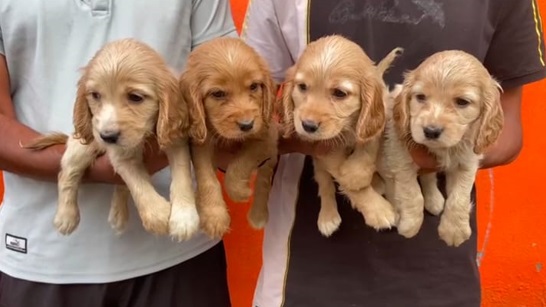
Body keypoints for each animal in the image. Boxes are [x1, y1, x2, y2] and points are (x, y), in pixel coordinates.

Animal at [23, 38, 198, 242]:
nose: (107, 136)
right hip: (82, 146)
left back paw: (118, 214)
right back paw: (66, 216)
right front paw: (157, 215)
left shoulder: (175, 139)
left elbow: (182, 176)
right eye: (95, 95)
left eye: (135, 97)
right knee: (67, 173)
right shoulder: (121, 157)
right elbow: (137, 183)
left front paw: (184, 218)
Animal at [181, 35, 278, 238]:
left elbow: (240, 164)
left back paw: (258, 215)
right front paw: (214, 216)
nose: (247, 125)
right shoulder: (201, 143)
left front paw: (239, 192)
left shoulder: (265, 136)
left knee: (264, 181)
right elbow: (207, 177)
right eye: (218, 93)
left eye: (254, 86)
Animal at [280, 35, 400, 238]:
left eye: (339, 93)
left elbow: (367, 147)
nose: (308, 126)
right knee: (325, 185)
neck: (347, 127)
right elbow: (340, 176)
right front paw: (378, 210)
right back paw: (328, 216)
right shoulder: (324, 149)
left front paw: (356, 174)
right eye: (302, 87)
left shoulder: (377, 120)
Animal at [378, 50, 502, 248]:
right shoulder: (401, 158)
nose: (431, 131)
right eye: (420, 97)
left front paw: (454, 230)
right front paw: (410, 224)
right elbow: (412, 194)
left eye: (462, 102)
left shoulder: (468, 162)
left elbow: (460, 196)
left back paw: (434, 200)